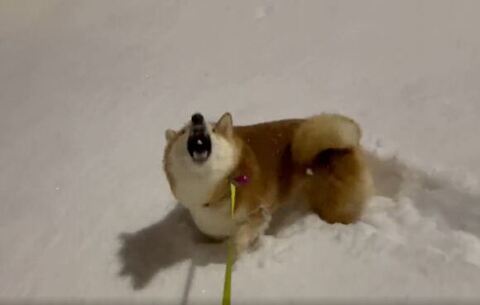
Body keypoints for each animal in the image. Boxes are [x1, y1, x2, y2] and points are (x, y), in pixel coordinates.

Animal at [163, 113, 374, 253]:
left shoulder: (258, 213)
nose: (197, 117)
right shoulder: (213, 230)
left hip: (334, 206)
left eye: (212, 129)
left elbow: (241, 236)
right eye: (184, 131)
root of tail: (345, 144)